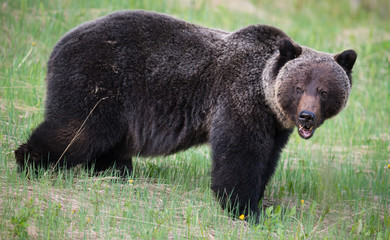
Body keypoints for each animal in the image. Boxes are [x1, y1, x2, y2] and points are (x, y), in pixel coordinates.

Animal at [14, 10, 356, 219]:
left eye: (324, 91)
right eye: (298, 87)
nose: (306, 117)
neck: (265, 98)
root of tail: (58, 44)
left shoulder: (274, 126)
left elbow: (267, 159)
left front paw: (258, 200)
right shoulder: (238, 99)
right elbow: (239, 155)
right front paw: (242, 208)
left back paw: (114, 171)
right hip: (101, 78)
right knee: (79, 129)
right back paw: (29, 160)